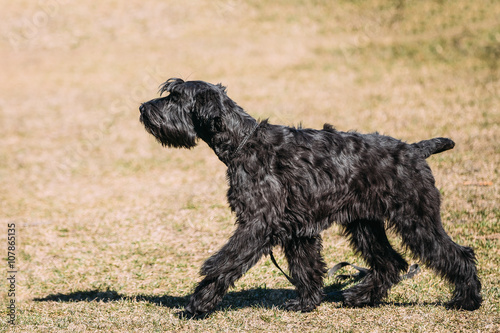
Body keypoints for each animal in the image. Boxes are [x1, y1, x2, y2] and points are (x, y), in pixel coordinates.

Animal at [139, 78, 482, 314]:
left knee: (457, 254)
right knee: (390, 263)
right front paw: (306, 303)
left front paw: (199, 302)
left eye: (175, 96)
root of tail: (414, 150)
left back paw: (467, 300)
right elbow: (305, 267)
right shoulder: (297, 227)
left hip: (416, 220)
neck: (243, 143)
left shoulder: (258, 223)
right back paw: (360, 296)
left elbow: (226, 261)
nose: (143, 108)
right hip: (365, 225)